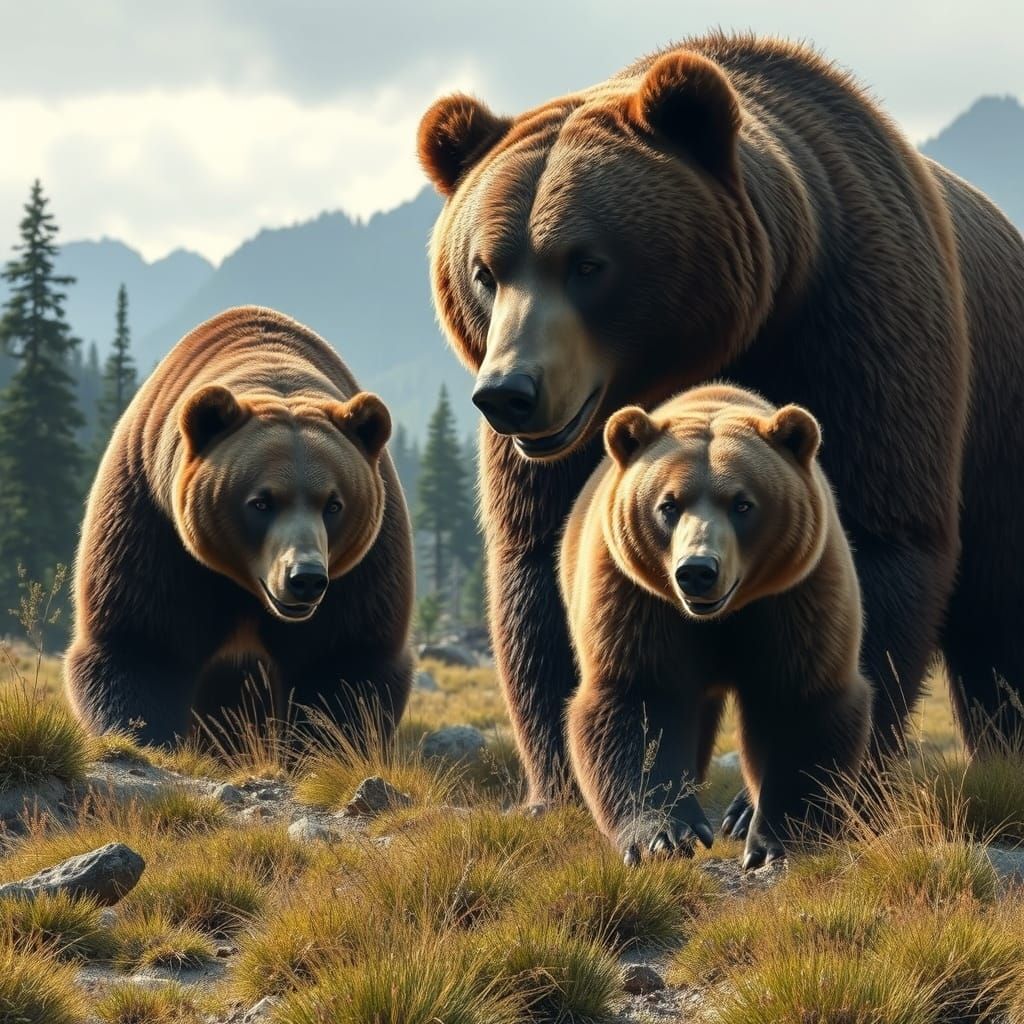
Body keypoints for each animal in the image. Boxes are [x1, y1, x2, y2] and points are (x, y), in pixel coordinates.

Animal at [66, 306, 414, 750]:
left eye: (334, 504)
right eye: (261, 502)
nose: (304, 578)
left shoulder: (362, 568)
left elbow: (345, 663)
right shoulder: (152, 524)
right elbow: (142, 644)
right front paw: (147, 737)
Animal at [561, 384, 871, 869]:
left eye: (743, 503)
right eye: (668, 505)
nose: (697, 571)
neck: (719, 619)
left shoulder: (796, 597)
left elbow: (798, 700)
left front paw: (777, 841)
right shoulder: (637, 600)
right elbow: (639, 702)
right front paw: (664, 836)